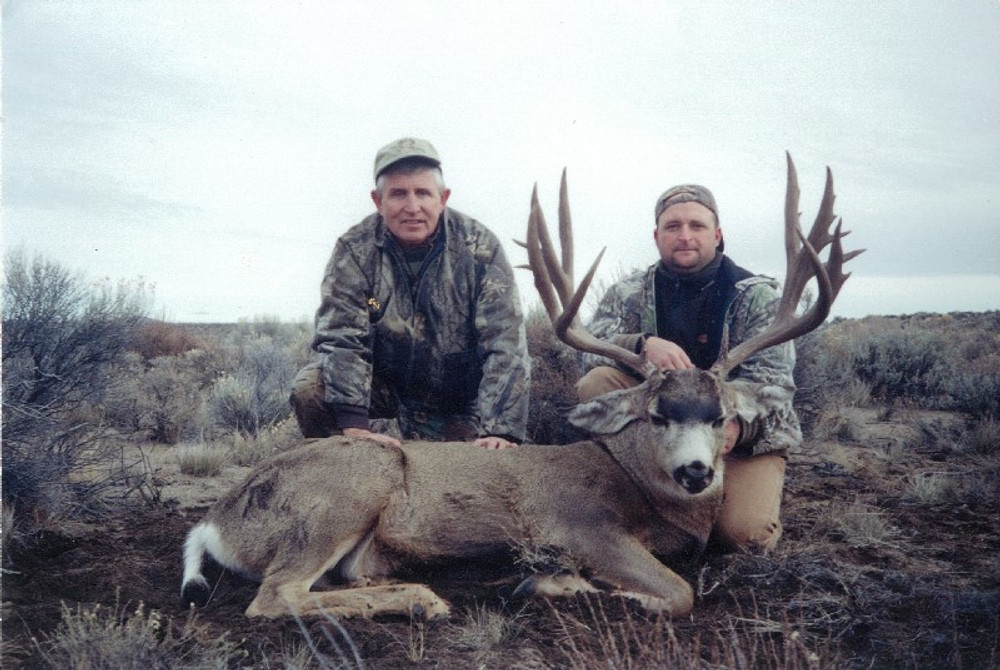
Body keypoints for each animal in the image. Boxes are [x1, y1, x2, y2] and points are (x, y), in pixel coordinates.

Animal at [180, 155, 860, 624]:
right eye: (657, 414)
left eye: (720, 416)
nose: (696, 472)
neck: (639, 488)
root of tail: (214, 521)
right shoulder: (581, 527)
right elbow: (678, 591)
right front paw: (556, 585)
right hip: (349, 487)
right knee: (276, 595)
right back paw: (426, 597)